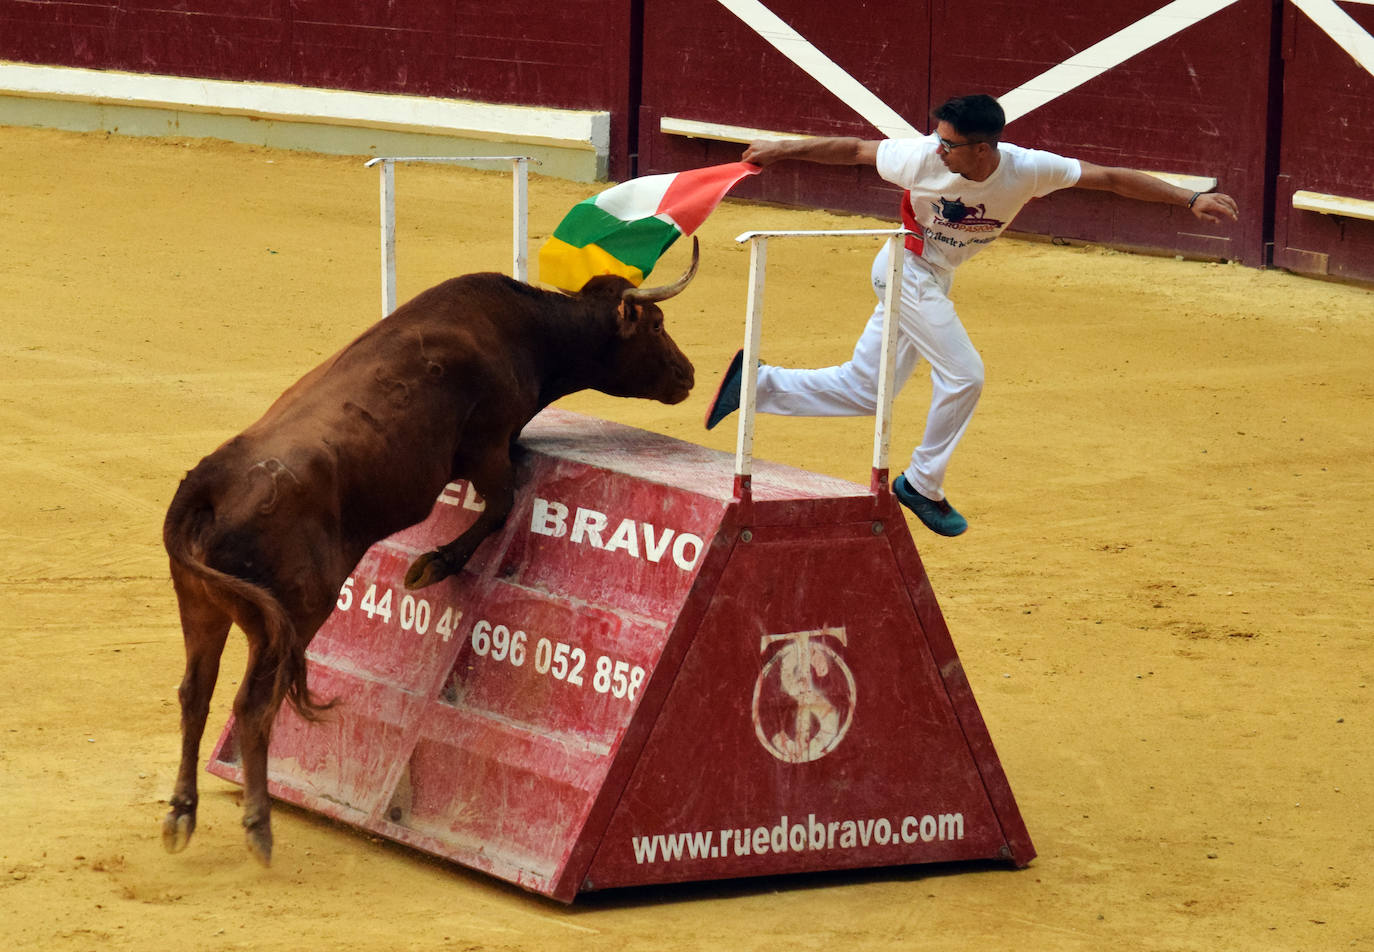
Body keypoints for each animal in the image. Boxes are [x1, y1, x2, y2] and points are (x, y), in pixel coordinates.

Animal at [160, 241, 697, 862]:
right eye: (655, 324)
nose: (688, 374)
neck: (529, 330)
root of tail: (208, 483)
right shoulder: (488, 446)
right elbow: (501, 505)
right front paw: (432, 564)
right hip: (293, 613)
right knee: (252, 705)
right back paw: (258, 823)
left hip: (200, 607)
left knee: (194, 694)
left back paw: (180, 814)